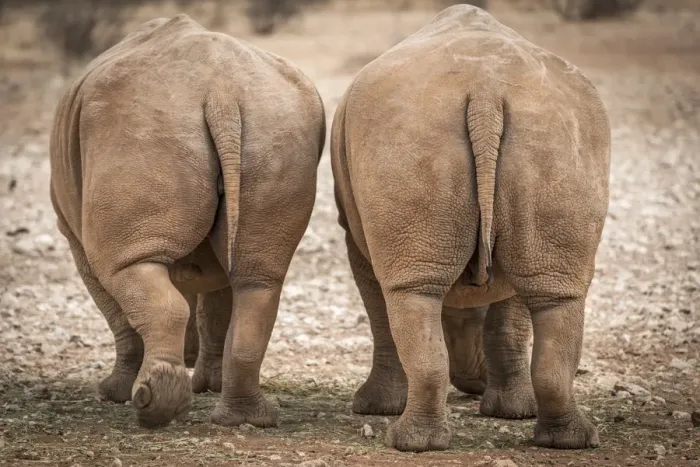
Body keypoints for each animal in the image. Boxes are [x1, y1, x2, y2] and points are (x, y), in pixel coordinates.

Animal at [49, 15, 326, 428]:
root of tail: (223, 95)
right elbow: (215, 306)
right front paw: (206, 383)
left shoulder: (75, 238)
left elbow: (118, 313)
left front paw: (114, 392)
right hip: (276, 124)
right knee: (257, 280)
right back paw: (245, 419)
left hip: (139, 125)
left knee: (127, 269)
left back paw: (153, 407)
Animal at [331, 4, 610, 452]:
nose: (471, 382)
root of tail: (485, 91)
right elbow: (509, 316)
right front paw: (510, 412)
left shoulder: (359, 237)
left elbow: (384, 313)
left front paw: (374, 408)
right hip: (554, 135)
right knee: (553, 293)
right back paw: (566, 442)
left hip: (428, 131)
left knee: (415, 291)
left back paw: (411, 442)